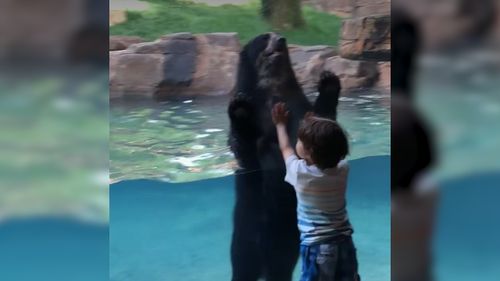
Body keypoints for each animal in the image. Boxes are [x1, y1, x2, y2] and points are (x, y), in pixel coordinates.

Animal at [229, 32, 342, 280]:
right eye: (264, 38)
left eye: (278, 36)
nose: (280, 38)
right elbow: (243, 149)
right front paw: (240, 108)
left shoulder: (301, 109)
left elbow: (322, 121)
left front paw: (328, 82)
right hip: (244, 241)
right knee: (243, 267)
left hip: (287, 245)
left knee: (279, 268)